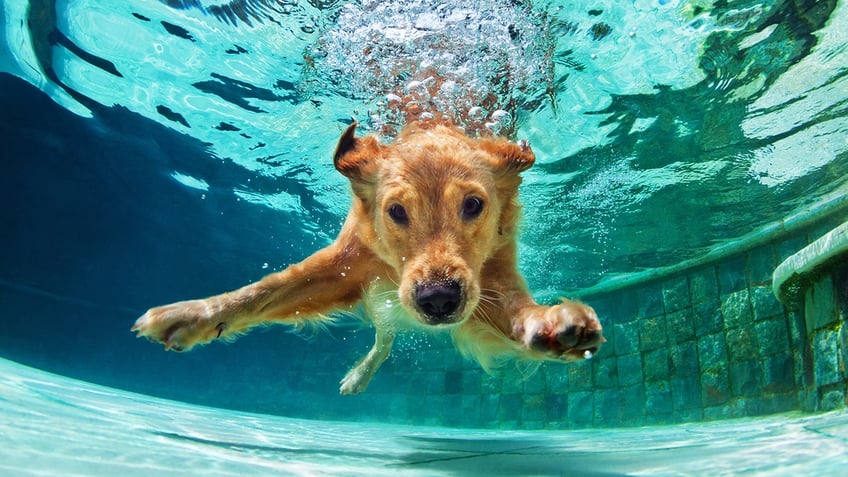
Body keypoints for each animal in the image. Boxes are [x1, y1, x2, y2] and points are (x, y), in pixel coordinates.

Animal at [132, 122, 604, 394]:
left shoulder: (490, 278)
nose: (438, 300)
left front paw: (552, 325)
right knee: (384, 336)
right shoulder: (344, 265)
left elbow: (517, 311)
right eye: (396, 211)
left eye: (473, 205)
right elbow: (264, 291)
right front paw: (193, 315)